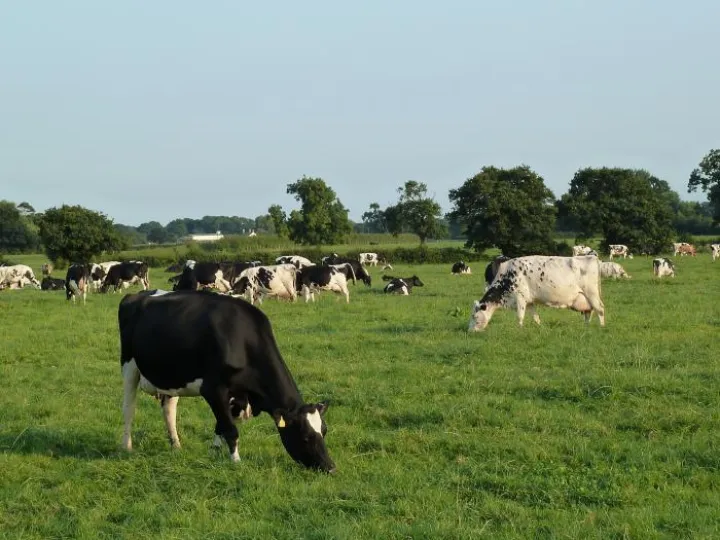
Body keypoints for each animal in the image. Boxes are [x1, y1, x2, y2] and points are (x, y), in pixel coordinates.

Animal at [118, 289, 335, 472]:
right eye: (305, 437)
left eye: (324, 431)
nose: (331, 468)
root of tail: (138, 294)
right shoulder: (213, 389)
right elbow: (230, 429)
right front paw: (236, 461)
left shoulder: (234, 395)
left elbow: (221, 423)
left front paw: (215, 449)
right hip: (129, 367)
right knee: (128, 408)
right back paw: (127, 446)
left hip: (172, 378)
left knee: (169, 409)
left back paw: (176, 445)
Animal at [468, 255, 605, 332]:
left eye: (474, 316)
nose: (469, 331)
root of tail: (592, 257)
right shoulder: (529, 301)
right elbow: (535, 317)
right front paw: (540, 327)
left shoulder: (520, 298)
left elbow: (520, 316)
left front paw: (519, 330)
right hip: (584, 298)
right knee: (588, 312)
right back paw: (586, 327)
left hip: (592, 293)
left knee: (600, 309)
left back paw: (602, 327)